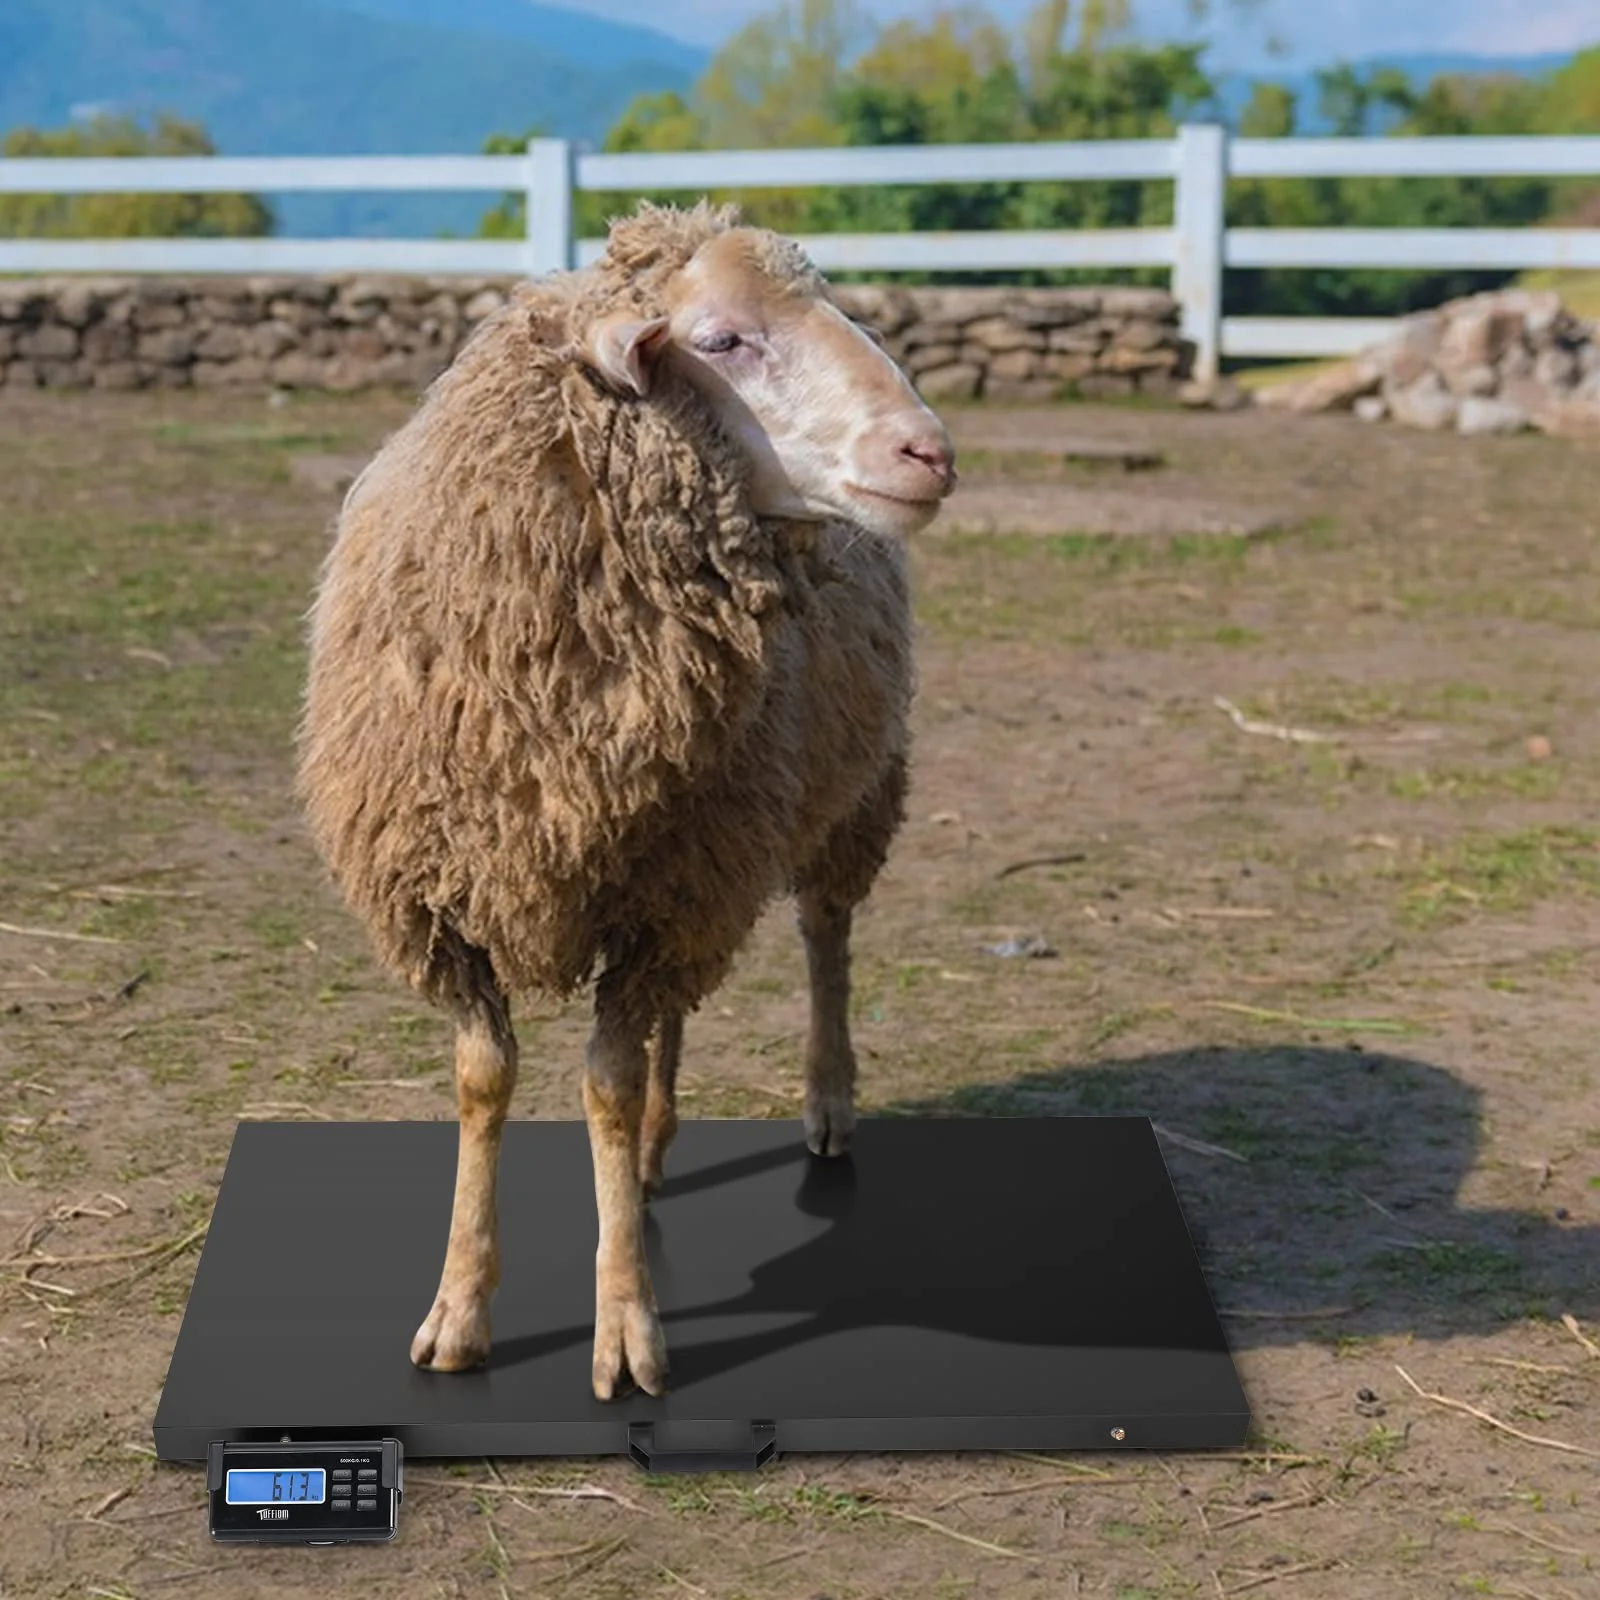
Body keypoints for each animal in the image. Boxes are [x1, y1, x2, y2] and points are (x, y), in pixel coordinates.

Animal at [295, 200, 956, 1400]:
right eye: (723, 339)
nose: (929, 452)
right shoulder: (459, 897)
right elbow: (484, 1079)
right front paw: (458, 1308)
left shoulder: (657, 900)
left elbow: (602, 1082)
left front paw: (626, 1325)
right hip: (702, 854)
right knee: (673, 1018)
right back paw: (653, 1148)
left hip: (831, 803)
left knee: (825, 939)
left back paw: (826, 1100)